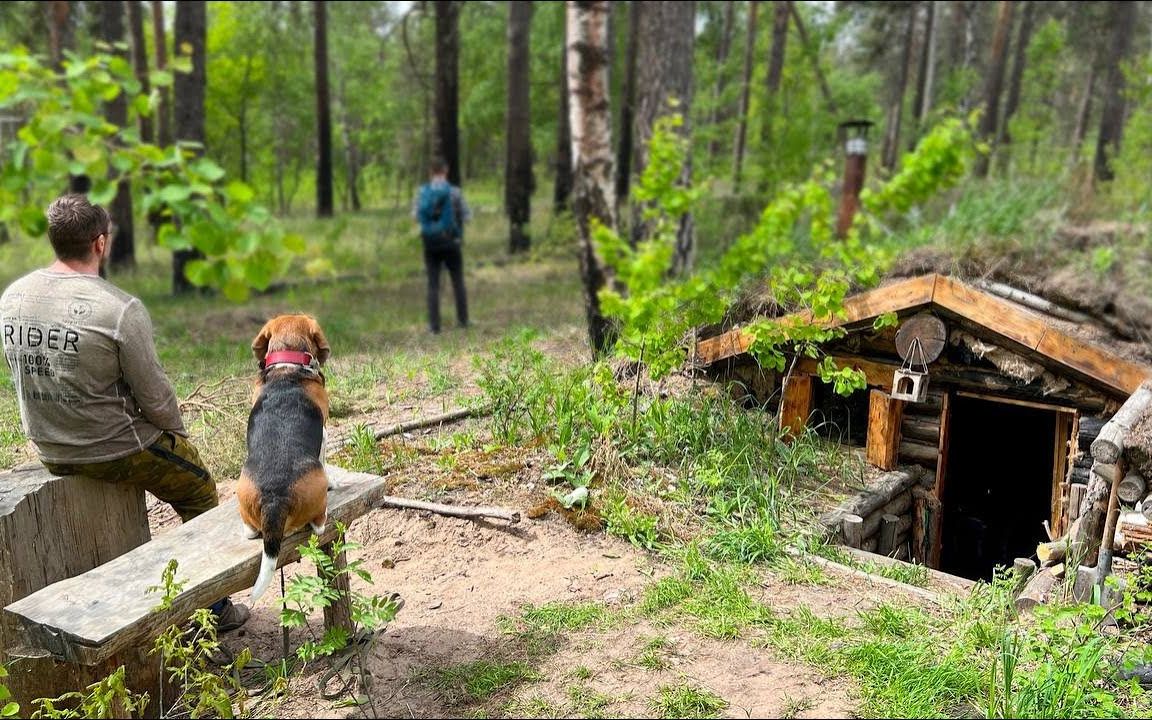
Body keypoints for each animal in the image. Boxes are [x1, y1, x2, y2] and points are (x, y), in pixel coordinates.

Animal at [240, 313, 331, 599]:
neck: (287, 366)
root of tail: (274, 499)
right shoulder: (325, 431)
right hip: (317, 492)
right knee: (319, 525)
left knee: (249, 531)